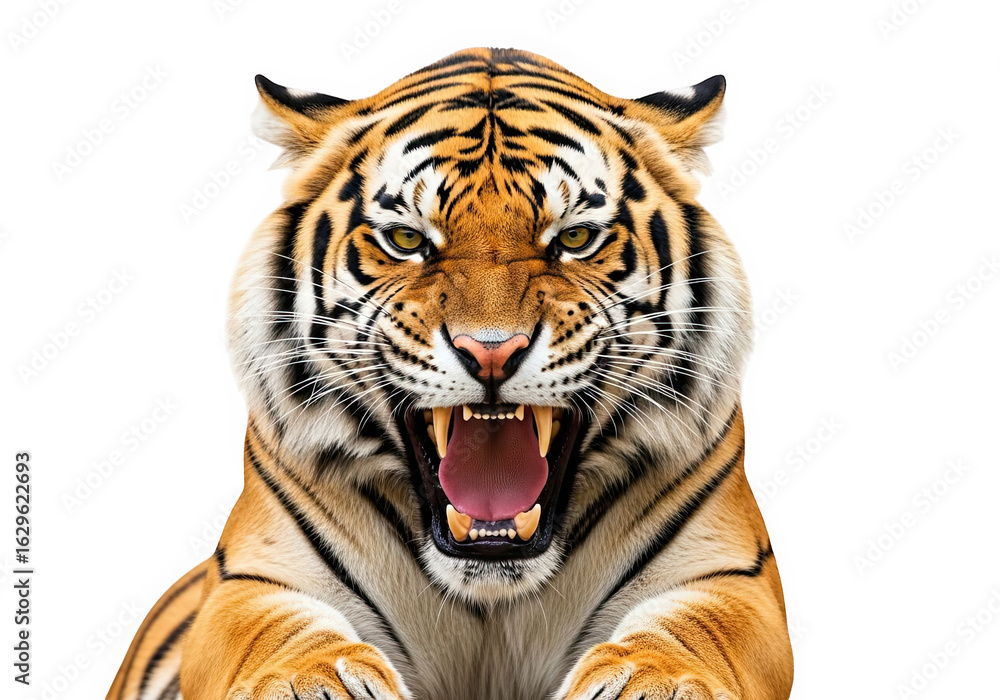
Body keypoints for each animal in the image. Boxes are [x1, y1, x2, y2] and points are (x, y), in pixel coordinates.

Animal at [109, 47, 793, 700]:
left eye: (574, 239)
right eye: (408, 240)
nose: (490, 351)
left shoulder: (732, 577)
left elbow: (695, 628)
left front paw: (655, 681)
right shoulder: (252, 578)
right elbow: (277, 631)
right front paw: (308, 682)